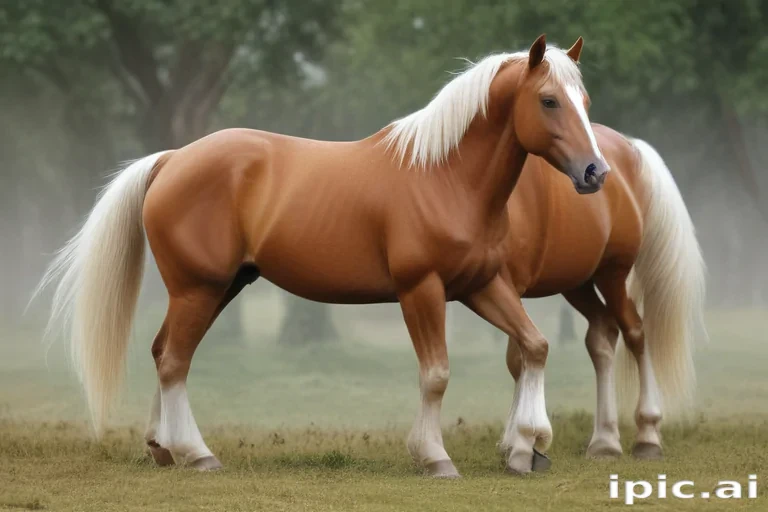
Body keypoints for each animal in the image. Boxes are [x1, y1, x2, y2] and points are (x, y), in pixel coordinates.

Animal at [35, 34, 609, 477]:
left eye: (585, 101)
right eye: (549, 101)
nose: (595, 173)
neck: (444, 176)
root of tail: (173, 159)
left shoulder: (481, 285)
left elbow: (534, 346)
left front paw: (526, 446)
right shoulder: (421, 289)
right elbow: (436, 373)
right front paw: (434, 457)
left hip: (219, 288)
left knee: (165, 354)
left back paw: (163, 447)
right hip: (198, 288)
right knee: (174, 360)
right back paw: (198, 454)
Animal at [495, 127, 705, 461]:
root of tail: (629, 148)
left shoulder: (511, 286)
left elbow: (519, 357)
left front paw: (521, 441)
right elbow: (518, 360)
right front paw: (519, 441)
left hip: (612, 276)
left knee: (635, 332)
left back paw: (647, 435)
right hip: (577, 284)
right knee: (602, 334)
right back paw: (605, 440)